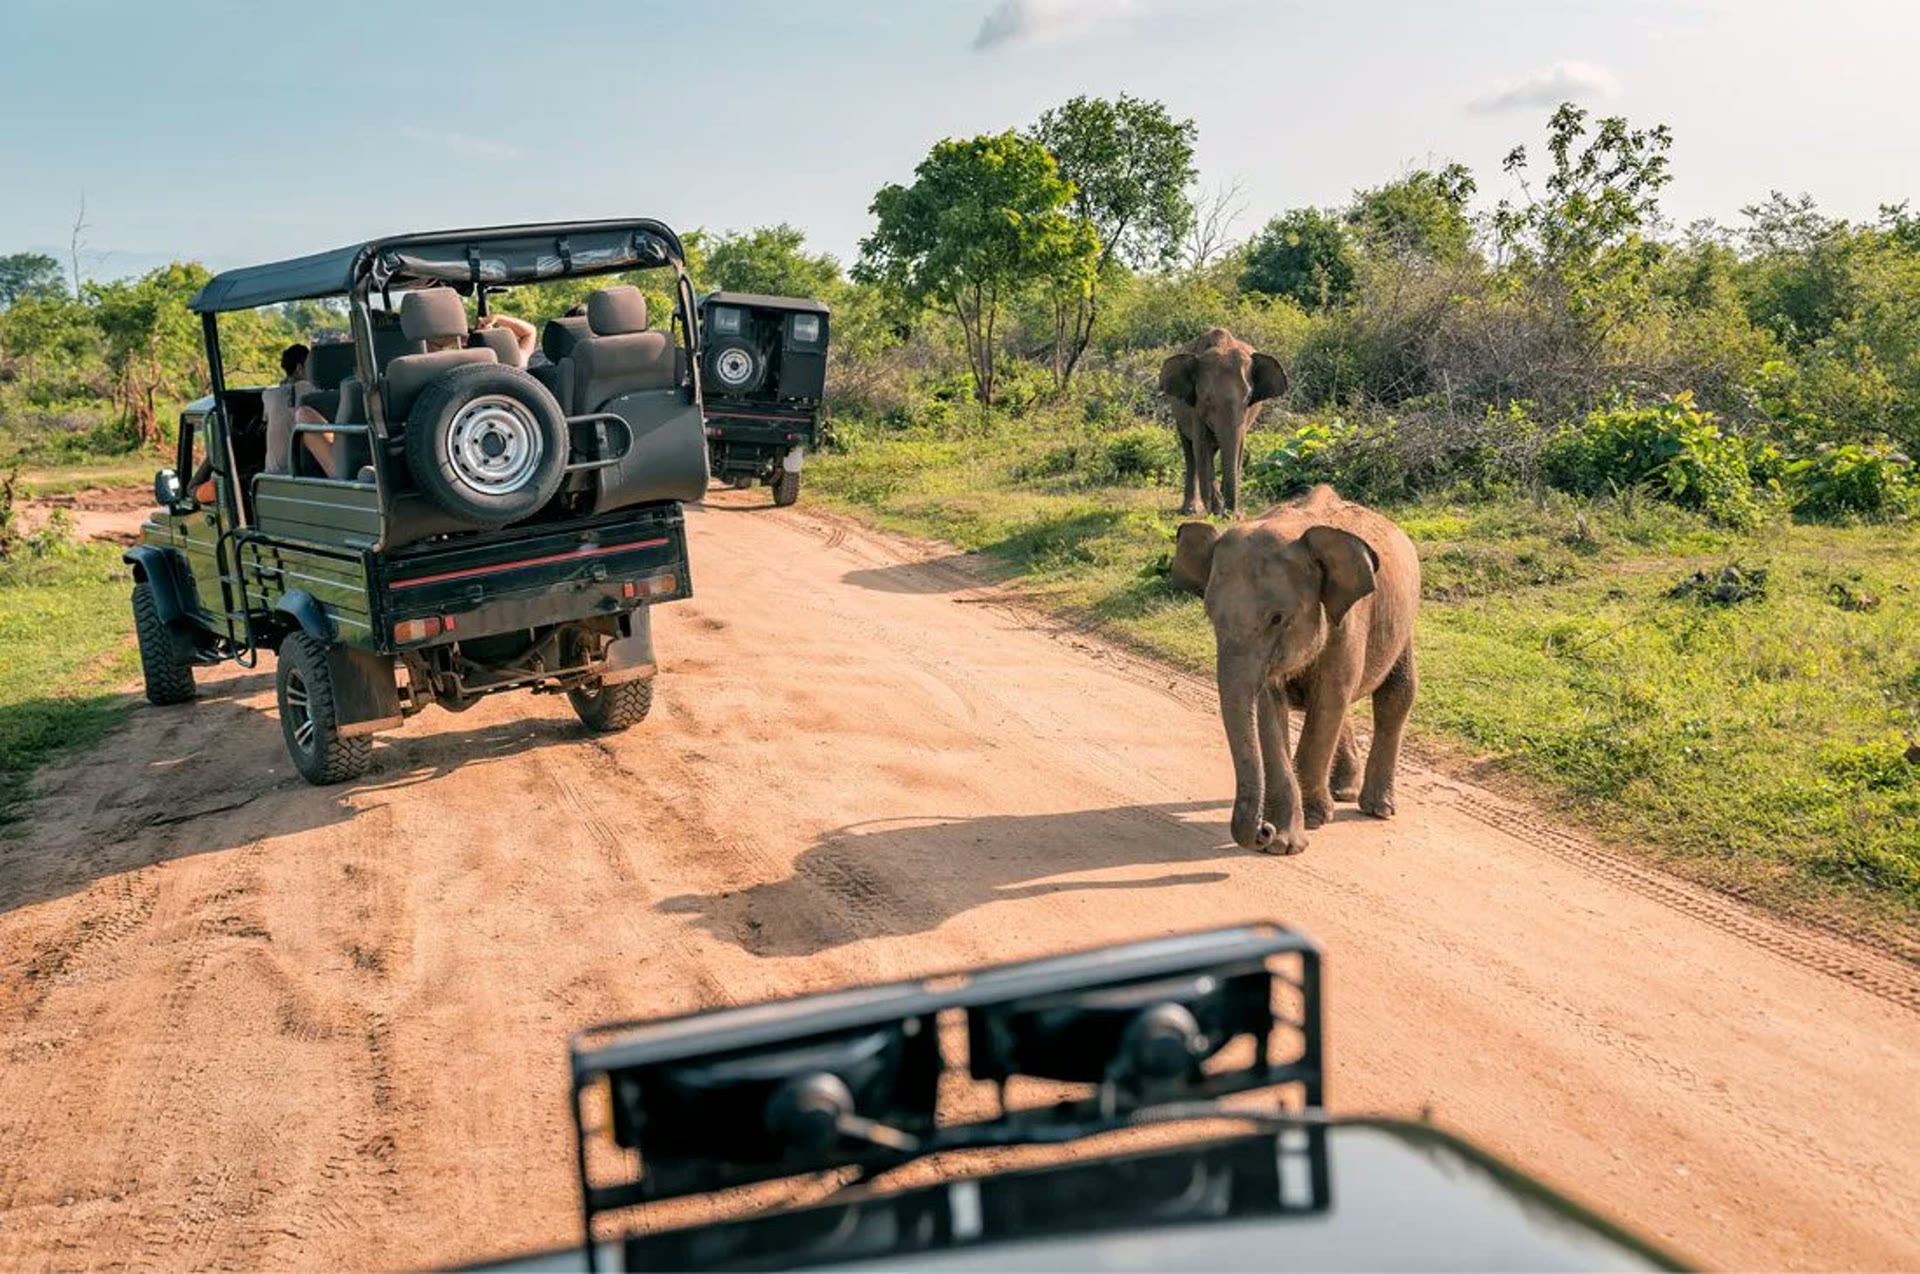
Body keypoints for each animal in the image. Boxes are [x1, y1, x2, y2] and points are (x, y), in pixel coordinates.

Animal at [1157, 327, 1289, 517]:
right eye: (1206, 399)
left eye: (1249, 397)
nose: (1232, 514)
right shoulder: (1195, 409)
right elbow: (1201, 447)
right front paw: (1217, 510)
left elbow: (1236, 447)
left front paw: (1227, 513)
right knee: (1190, 452)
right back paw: (1189, 511)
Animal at [1171, 484, 1419, 855]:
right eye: (1211, 617)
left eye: (1277, 618)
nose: (1262, 830)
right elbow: (1269, 709)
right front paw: (1284, 841)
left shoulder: (1348, 622)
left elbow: (1329, 699)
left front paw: (1313, 819)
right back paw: (1342, 792)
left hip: (1404, 623)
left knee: (1395, 694)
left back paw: (1376, 808)